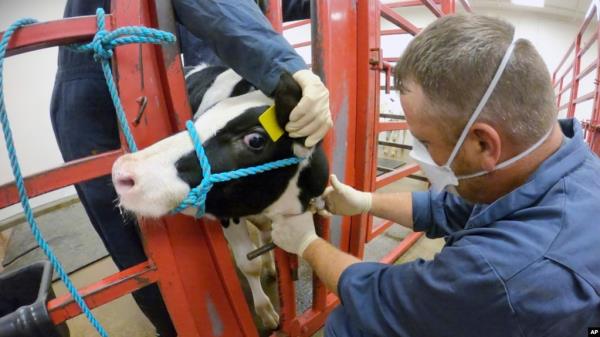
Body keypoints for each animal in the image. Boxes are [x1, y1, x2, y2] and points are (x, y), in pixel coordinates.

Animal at [112, 63, 328, 328]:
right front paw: (266, 312)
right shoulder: (228, 215)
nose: (122, 172)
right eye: (198, 119)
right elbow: (249, 263)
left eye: (256, 139)